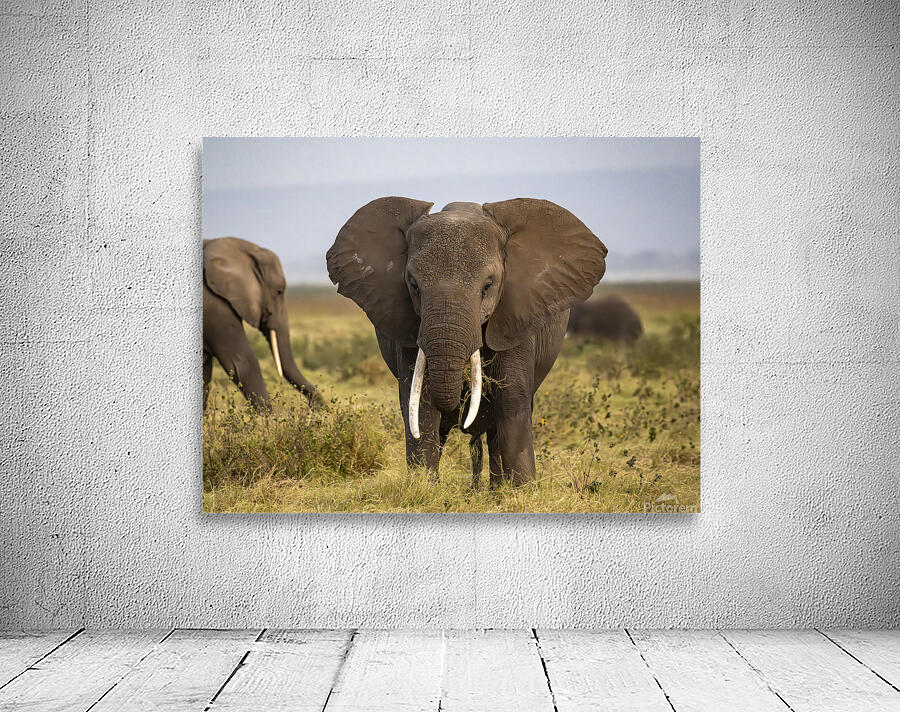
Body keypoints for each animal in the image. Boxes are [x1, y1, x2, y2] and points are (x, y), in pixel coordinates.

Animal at [326, 197, 607, 485]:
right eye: (413, 285)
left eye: (488, 286)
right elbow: (420, 406)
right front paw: (424, 487)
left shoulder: (517, 316)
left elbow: (512, 403)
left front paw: (521, 490)